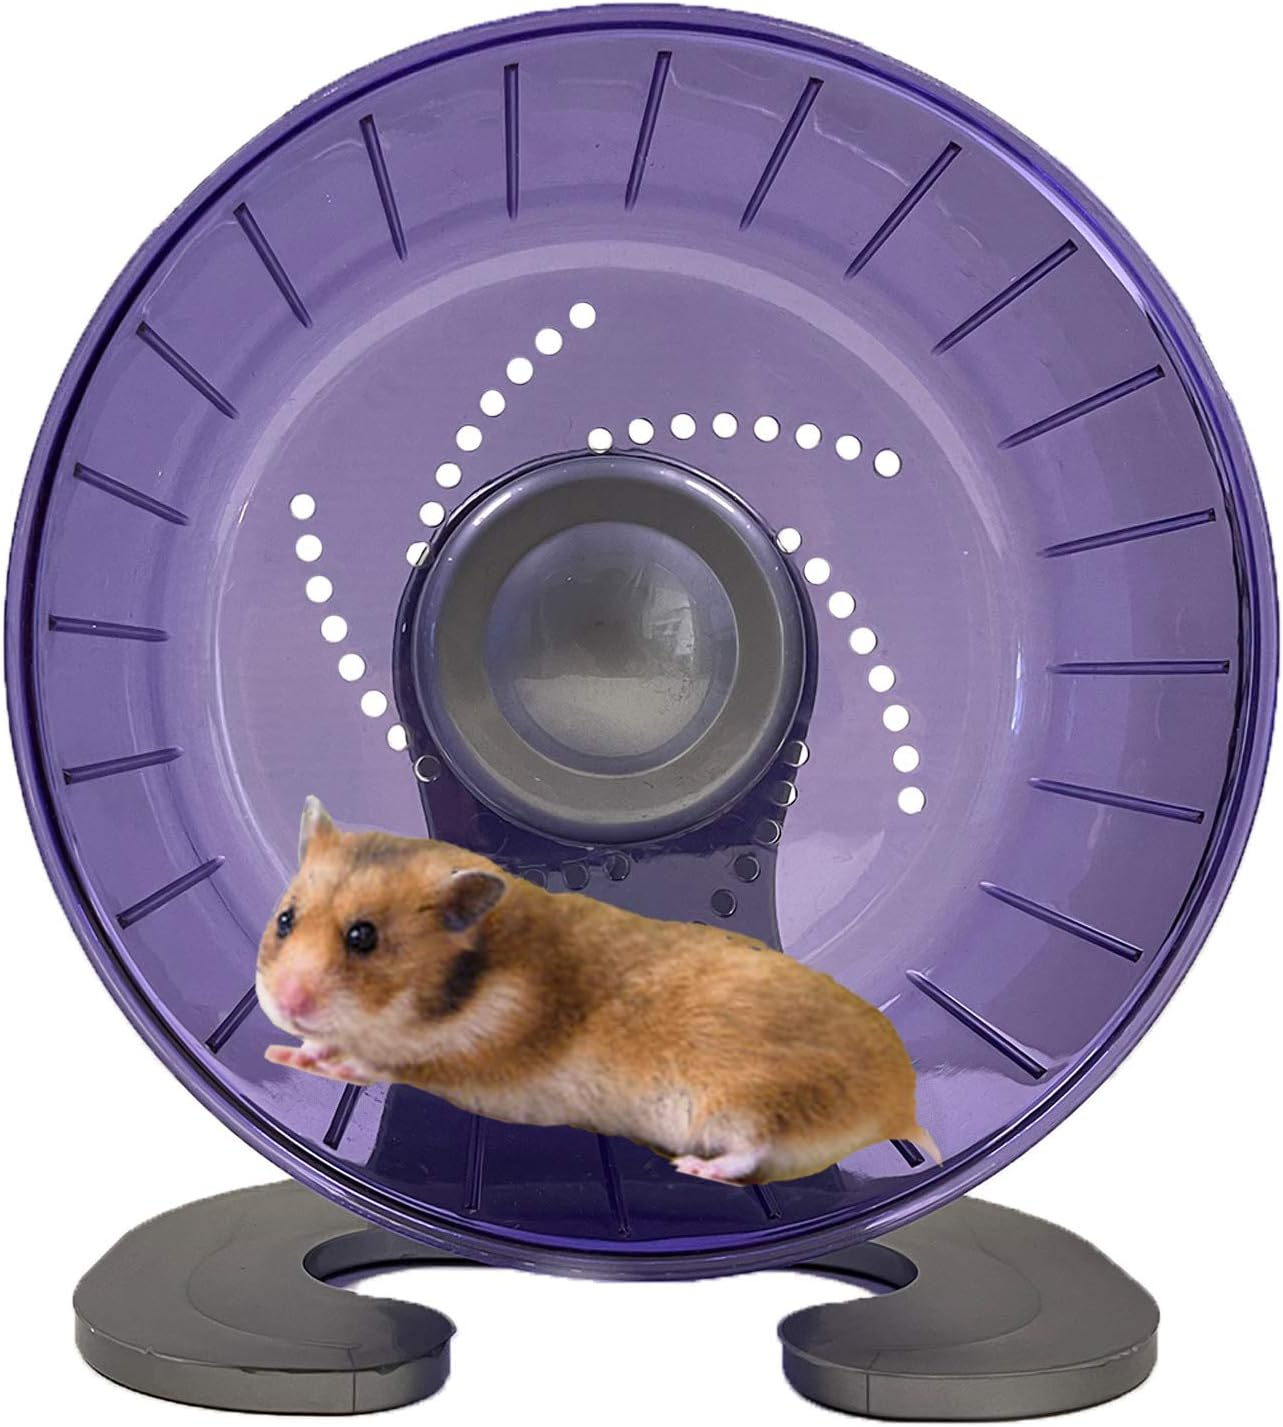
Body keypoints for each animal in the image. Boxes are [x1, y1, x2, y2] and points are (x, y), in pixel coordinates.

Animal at [257, 797, 940, 1185]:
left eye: (363, 937)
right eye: (284, 919)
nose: (286, 1004)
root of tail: (899, 1106)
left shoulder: (472, 1052)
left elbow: (376, 1064)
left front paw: (300, 1057)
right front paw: (286, 1051)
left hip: (746, 1100)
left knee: (752, 1155)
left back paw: (694, 1167)